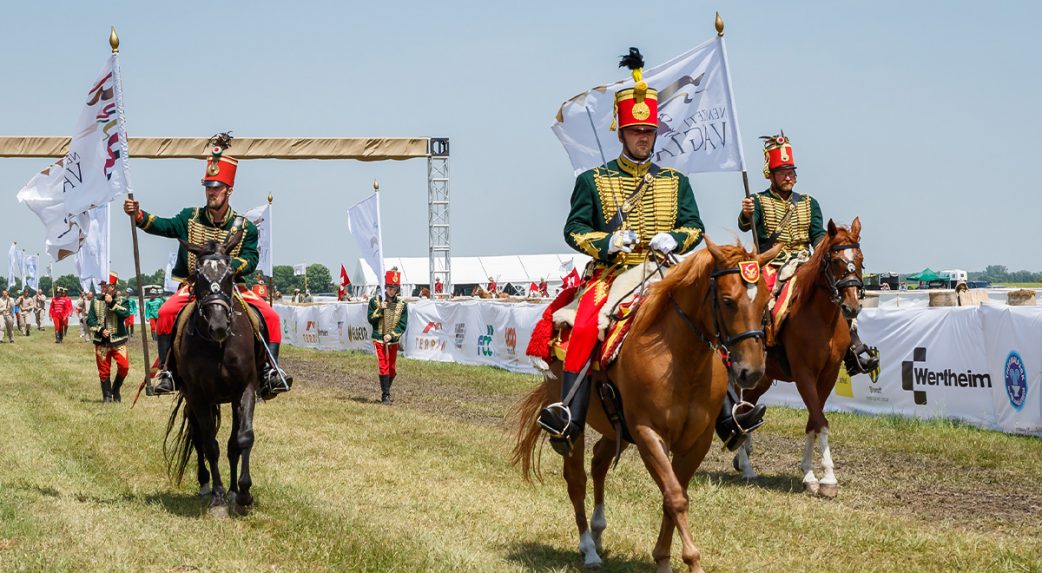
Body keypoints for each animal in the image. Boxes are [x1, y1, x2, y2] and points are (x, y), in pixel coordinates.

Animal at [164, 230, 264, 516]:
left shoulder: (245, 389)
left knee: (232, 444)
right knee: (198, 438)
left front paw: (242, 494)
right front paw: (218, 497)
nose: (217, 325)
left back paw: (232, 491)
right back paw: (206, 485)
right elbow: (210, 444)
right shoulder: (198, 396)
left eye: (230, 273)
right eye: (198, 274)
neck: (219, 345)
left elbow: (242, 439)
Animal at [512, 240, 783, 573]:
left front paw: (665, 558)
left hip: (617, 429)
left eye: (766, 302)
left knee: (599, 461)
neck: (680, 359)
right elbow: (675, 497)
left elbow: (674, 495)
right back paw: (589, 548)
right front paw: (689, 561)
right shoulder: (648, 434)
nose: (752, 372)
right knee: (576, 478)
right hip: (573, 426)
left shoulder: (696, 441)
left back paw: (598, 532)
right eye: (728, 300)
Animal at [733, 219, 871, 497]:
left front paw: (810, 473)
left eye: (860, 258)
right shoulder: (803, 374)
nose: (851, 307)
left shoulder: (828, 376)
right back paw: (747, 466)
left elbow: (813, 421)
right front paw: (827, 478)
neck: (822, 319)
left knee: (749, 407)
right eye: (835, 260)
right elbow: (819, 420)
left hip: (762, 379)